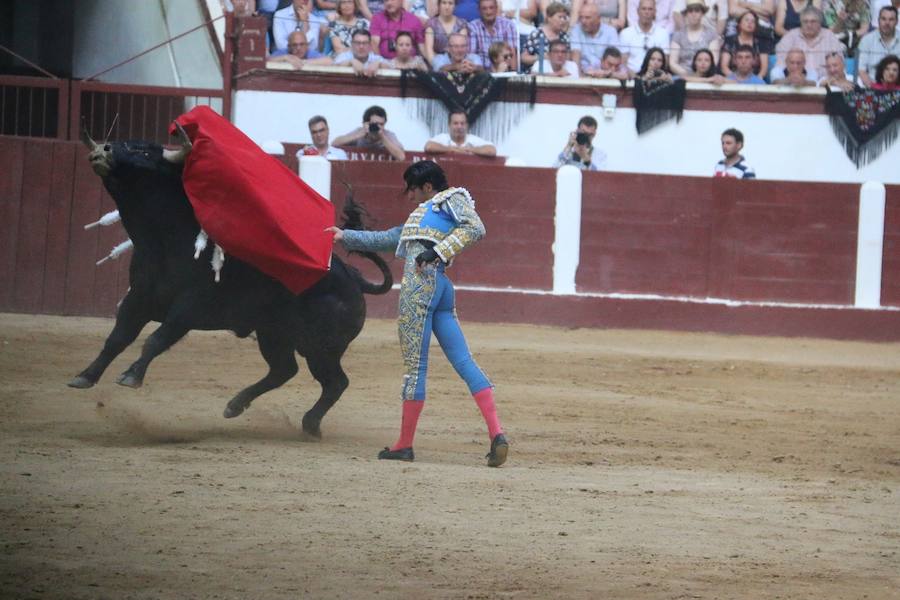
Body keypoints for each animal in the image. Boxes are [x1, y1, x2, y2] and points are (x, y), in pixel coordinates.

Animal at [68, 134, 392, 438]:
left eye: (145, 152)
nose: (104, 150)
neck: (164, 241)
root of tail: (354, 278)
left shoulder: (188, 308)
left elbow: (155, 340)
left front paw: (131, 376)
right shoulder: (138, 298)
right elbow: (117, 338)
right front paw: (85, 376)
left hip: (320, 346)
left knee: (335, 381)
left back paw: (310, 424)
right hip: (274, 334)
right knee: (285, 369)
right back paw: (236, 405)